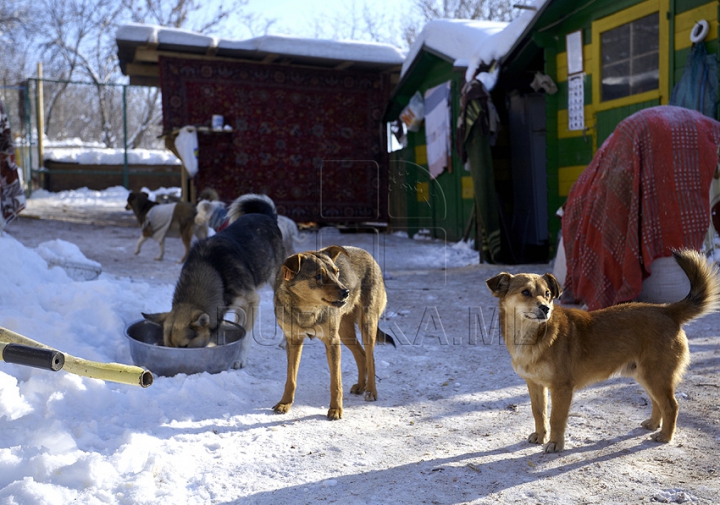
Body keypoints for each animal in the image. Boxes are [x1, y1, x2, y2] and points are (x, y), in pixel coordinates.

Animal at [272, 246, 394, 420]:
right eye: (318, 276)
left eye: (336, 272)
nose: (346, 292)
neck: (307, 309)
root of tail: (366, 252)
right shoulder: (294, 341)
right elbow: (291, 379)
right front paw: (285, 403)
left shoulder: (332, 342)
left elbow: (335, 382)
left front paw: (336, 410)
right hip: (345, 333)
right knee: (361, 355)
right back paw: (360, 386)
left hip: (366, 326)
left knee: (371, 358)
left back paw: (371, 391)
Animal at [484, 248, 720, 452]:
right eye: (526, 292)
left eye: (548, 293)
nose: (546, 308)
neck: (533, 336)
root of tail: (667, 310)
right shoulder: (534, 385)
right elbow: (539, 413)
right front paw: (541, 436)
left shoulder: (561, 388)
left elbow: (556, 418)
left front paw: (554, 444)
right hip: (646, 375)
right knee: (658, 403)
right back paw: (653, 424)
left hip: (656, 376)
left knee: (671, 406)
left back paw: (665, 436)